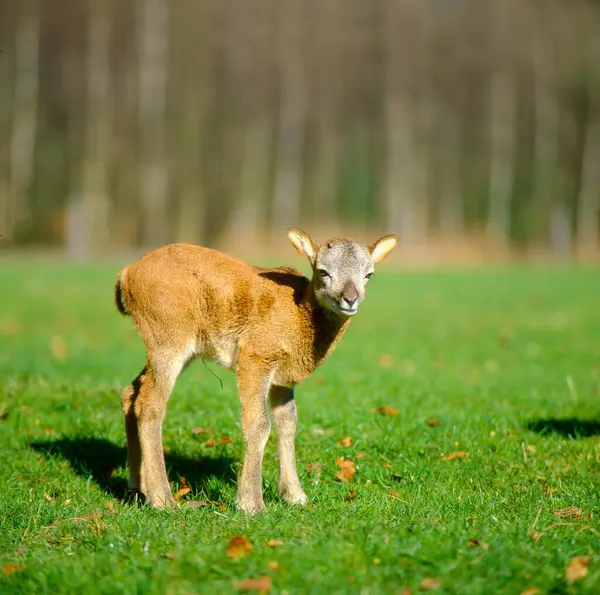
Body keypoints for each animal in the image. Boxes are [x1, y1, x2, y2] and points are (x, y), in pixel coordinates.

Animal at [116, 228, 398, 512]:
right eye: (322, 271)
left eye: (369, 274)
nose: (350, 299)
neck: (298, 319)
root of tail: (125, 277)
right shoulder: (255, 356)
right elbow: (259, 423)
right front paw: (251, 504)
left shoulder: (283, 378)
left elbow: (288, 422)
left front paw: (296, 496)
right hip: (169, 337)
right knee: (150, 406)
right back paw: (162, 499)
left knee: (132, 392)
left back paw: (137, 486)